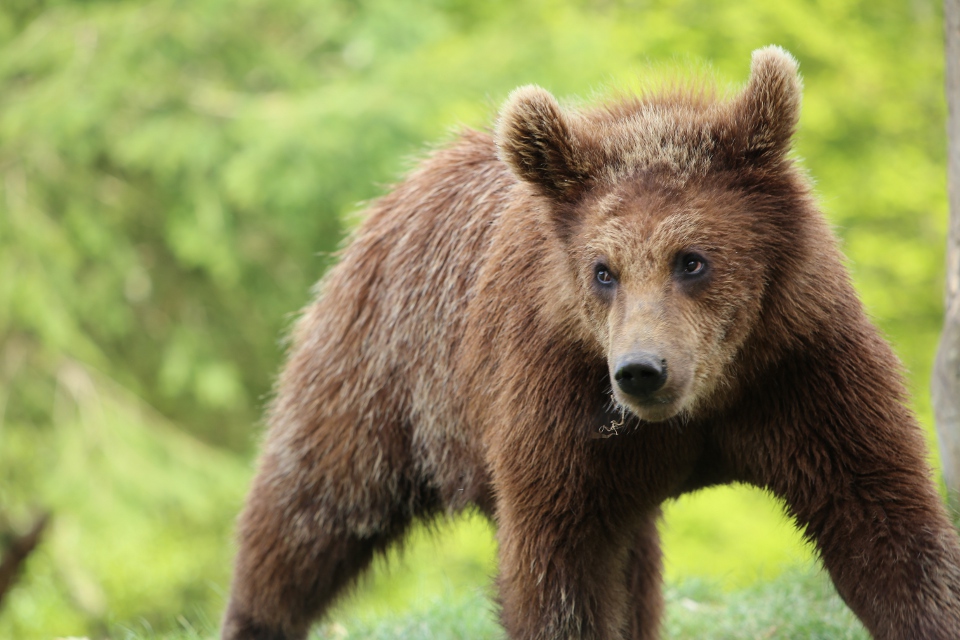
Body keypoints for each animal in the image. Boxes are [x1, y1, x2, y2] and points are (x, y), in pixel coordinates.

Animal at [221, 48, 960, 640]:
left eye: (692, 259)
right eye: (603, 270)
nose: (641, 371)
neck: (710, 396)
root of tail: (399, 190)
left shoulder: (803, 374)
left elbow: (888, 534)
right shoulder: (559, 407)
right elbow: (560, 574)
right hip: (382, 378)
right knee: (309, 512)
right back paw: (259, 612)